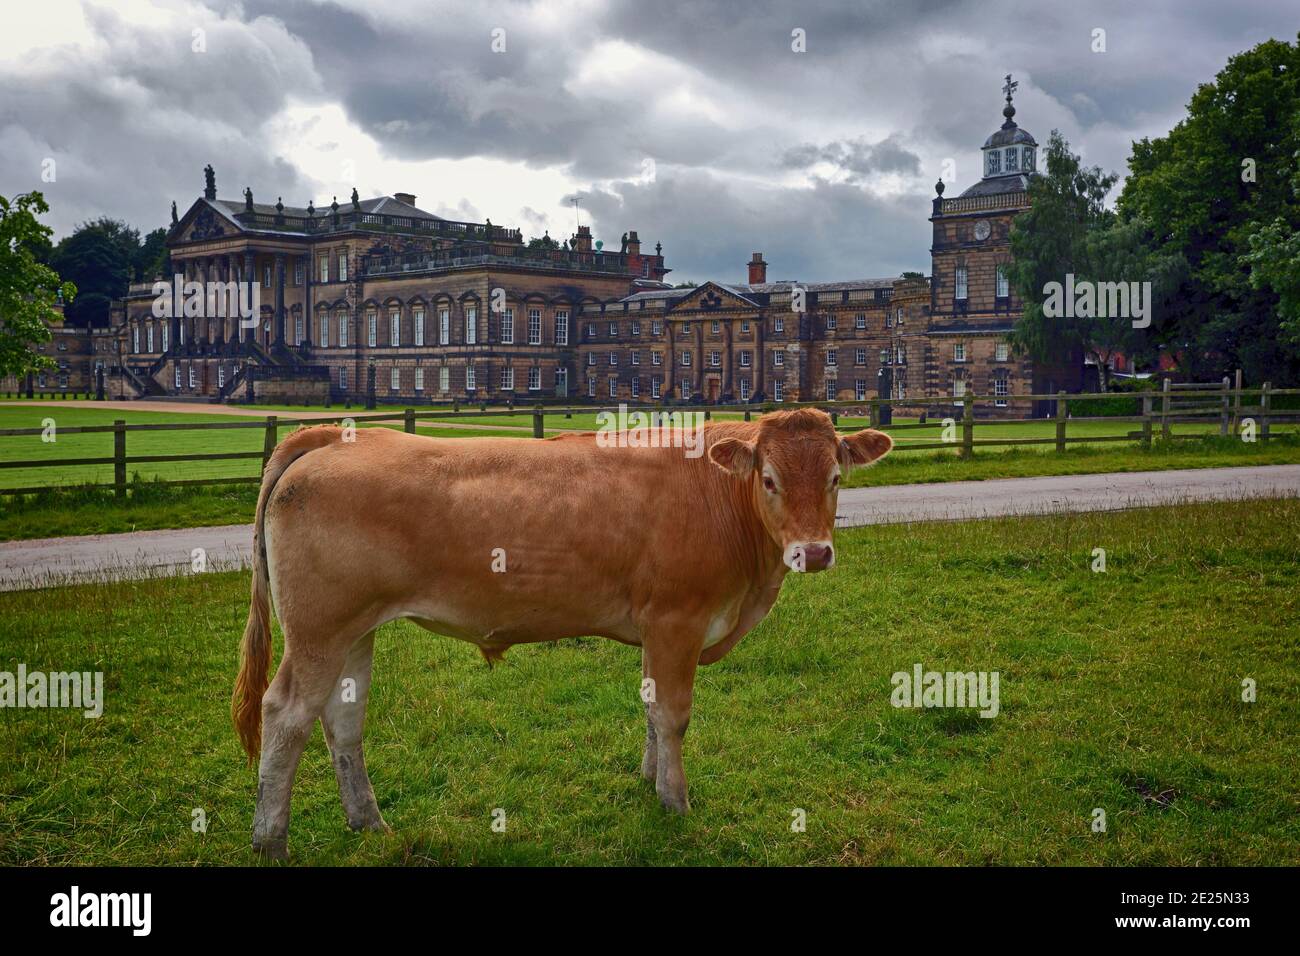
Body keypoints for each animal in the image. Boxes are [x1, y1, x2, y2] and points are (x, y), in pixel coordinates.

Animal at [233, 408, 889, 858]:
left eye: (835, 477)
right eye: (771, 479)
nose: (814, 552)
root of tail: (335, 435)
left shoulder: (656, 630)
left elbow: (650, 709)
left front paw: (649, 781)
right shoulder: (676, 621)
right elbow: (673, 715)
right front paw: (675, 802)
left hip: (354, 630)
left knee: (343, 719)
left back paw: (368, 821)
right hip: (318, 630)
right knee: (285, 714)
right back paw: (271, 841)